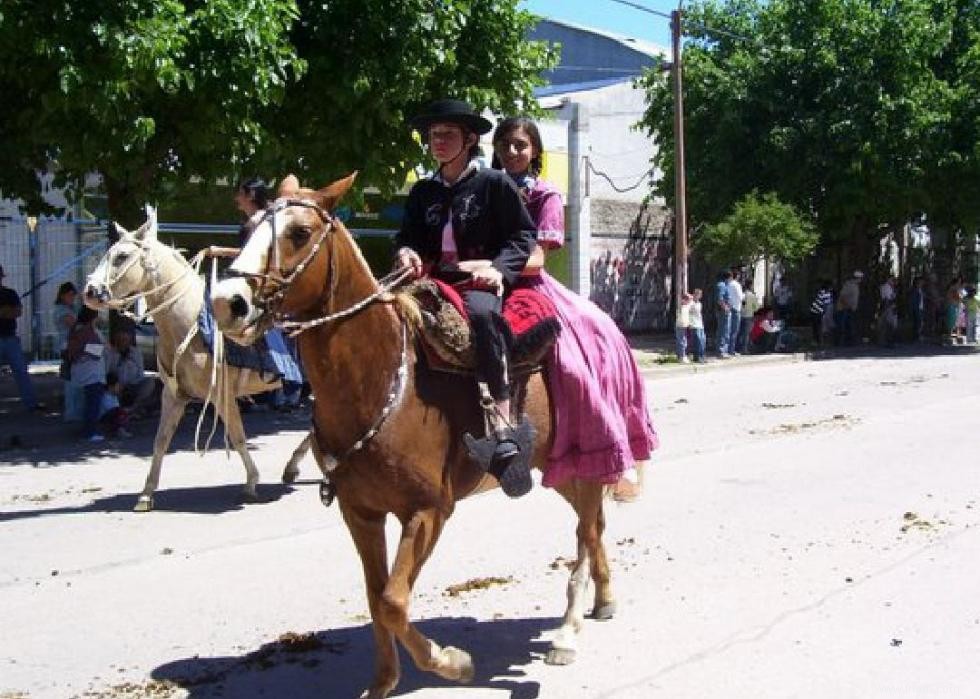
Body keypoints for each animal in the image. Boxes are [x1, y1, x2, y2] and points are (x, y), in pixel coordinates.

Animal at [88, 209, 312, 516]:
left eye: (121, 256)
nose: (90, 291)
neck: (189, 323)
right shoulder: (173, 396)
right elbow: (160, 442)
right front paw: (146, 494)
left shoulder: (222, 395)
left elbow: (238, 437)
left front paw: (251, 484)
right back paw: (293, 467)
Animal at [211, 174, 616, 696]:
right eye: (245, 229)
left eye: (300, 233)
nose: (227, 303)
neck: (381, 379)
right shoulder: (360, 513)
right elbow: (375, 596)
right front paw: (383, 682)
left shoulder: (427, 511)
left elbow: (392, 601)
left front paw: (453, 663)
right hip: (558, 467)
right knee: (595, 524)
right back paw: (603, 599)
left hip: (582, 454)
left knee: (586, 530)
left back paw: (567, 631)